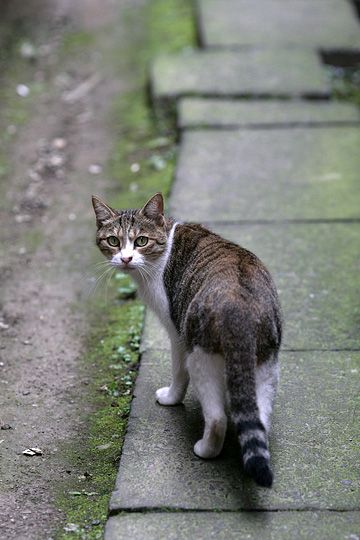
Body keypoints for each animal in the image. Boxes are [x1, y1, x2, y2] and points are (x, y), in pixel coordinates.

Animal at [92, 192, 282, 488]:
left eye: (141, 241)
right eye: (113, 241)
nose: (125, 258)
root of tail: (239, 309)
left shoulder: (176, 333)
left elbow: (178, 373)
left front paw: (171, 398)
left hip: (200, 356)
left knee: (216, 419)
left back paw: (205, 449)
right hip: (266, 365)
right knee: (259, 417)